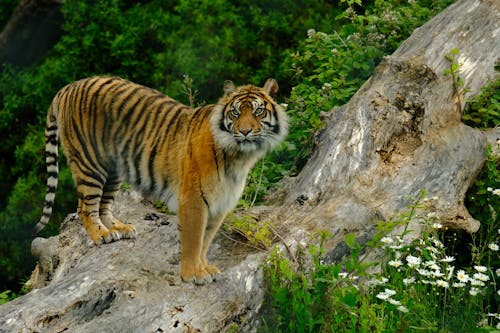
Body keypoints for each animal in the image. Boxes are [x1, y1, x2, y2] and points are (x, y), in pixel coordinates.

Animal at [32, 75, 290, 282]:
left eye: (258, 111)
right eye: (235, 112)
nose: (245, 131)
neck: (240, 156)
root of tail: (69, 86)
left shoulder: (220, 204)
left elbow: (205, 242)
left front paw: (205, 269)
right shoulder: (194, 200)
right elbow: (193, 241)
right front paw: (192, 275)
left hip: (113, 168)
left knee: (103, 205)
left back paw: (118, 229)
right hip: (90, 162)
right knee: (85, 207)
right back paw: (101, 235)